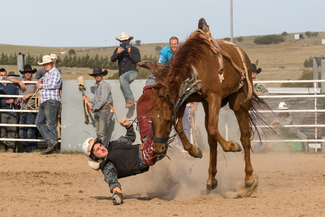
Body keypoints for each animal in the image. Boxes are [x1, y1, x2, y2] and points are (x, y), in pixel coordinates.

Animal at [139, 29, 268, 195]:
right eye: (152, 120)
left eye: (166, 120)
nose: (158, 148)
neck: (196, 65)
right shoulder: (186, 99)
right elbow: (181, 127)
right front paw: (194, 150)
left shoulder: (214, 97)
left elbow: (213, 128)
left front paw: (232, 146)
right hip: (207, 105)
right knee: (211, 140)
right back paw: (211, 179)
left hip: (239, 102)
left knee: (244, 137)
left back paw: (249, 180)